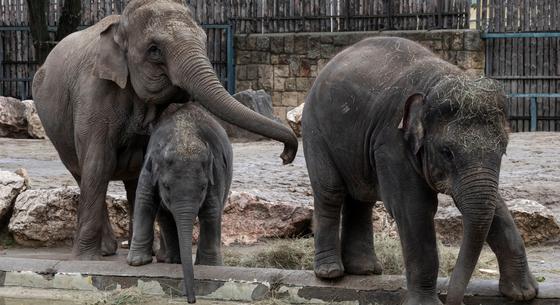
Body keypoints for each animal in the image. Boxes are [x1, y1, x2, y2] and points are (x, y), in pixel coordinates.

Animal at [31, 0, 298, 258]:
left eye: (204, 40)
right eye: (154, 50)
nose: (285, 156)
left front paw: (163, 257)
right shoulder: (94, 95)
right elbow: (99, 164)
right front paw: (86, 259)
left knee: (133, 181)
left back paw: (147, 252)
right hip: (60, 135)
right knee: (83, 173)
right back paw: (107, 251)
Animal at [127, 102, 232, 302]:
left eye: (203, 187)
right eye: (166, 187)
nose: (191, 300)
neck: (184, 137)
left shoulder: (215, 171)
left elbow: (211, 210)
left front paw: (209, 266)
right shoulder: (149, 166)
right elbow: (144, 201)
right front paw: (136, 263)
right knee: (164, 215)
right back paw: (171, 260)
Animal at [302, 37, 540, 304]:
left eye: (504, 149)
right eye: (447, 152)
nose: (455, 300)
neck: (436, 83)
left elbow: (495, 205)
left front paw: (524, 294)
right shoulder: (391, 143)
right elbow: (414, 208)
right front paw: (427, 303)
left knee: (361, 197)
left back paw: (365, 270)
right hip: (314, 130)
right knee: (331, 191)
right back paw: (330, 273)